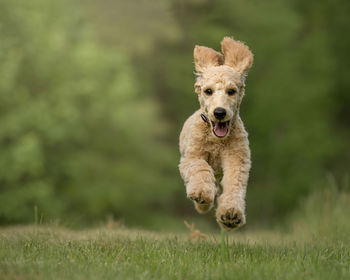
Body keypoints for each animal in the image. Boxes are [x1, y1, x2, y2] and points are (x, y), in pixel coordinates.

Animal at [179, 36, 253, 230]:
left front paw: (231, 214)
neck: (217, 141)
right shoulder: (191, 157)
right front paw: (202, 193)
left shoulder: (237, 160)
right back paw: (203, 203)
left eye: (231, 91)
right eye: (208, 91)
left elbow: (234, 185)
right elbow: (200, 168)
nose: (219, 112)